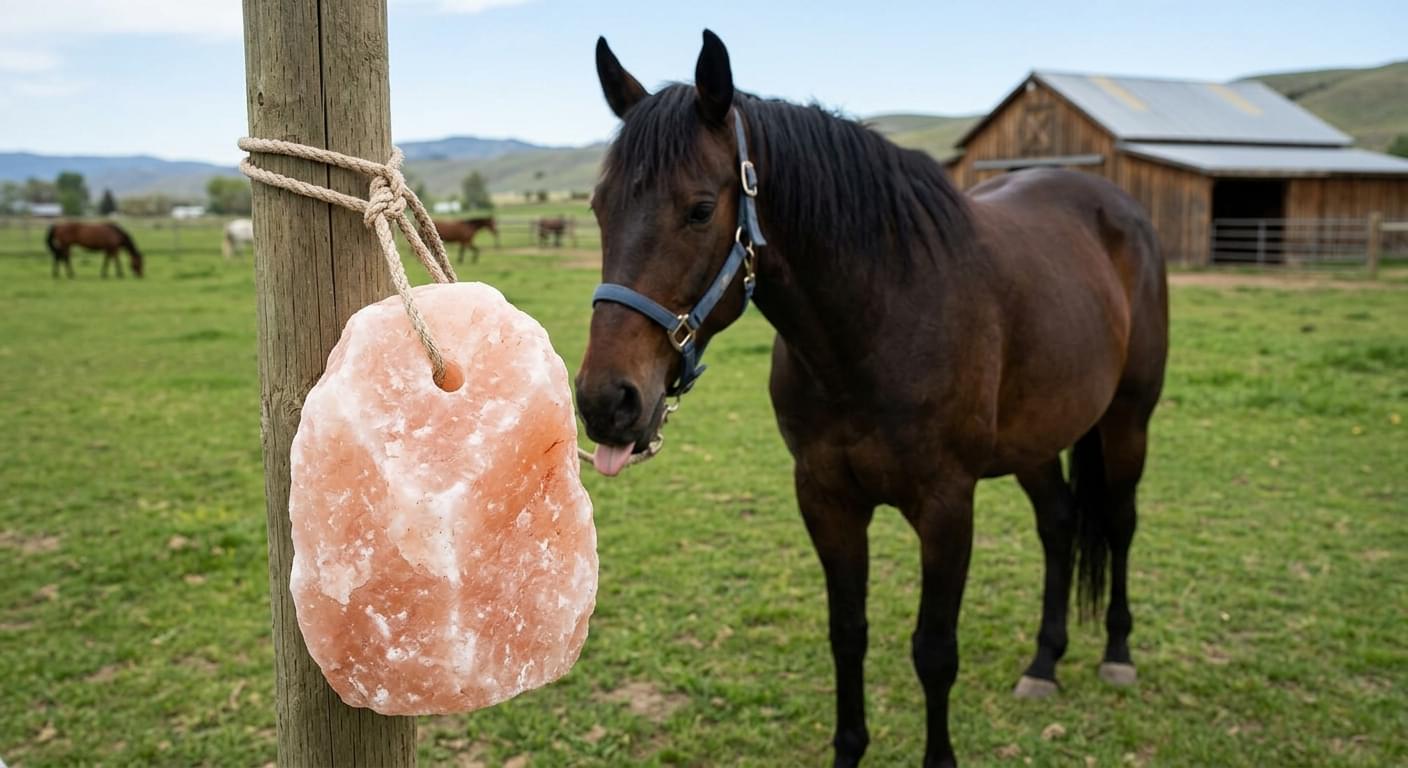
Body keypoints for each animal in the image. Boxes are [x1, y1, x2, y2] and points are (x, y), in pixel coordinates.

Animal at [575, 32, 1168, 768]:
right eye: (598, 207)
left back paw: (1117, 653)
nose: (606, 402)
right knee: (1059, 524)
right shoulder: (827, 499)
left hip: (1128, 421)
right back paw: (1043, 664)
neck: (876, 323)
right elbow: (847, 634)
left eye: (700, 208)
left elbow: (935, 652)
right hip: (1036, 439)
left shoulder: (946, 506)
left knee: (1117, 521)